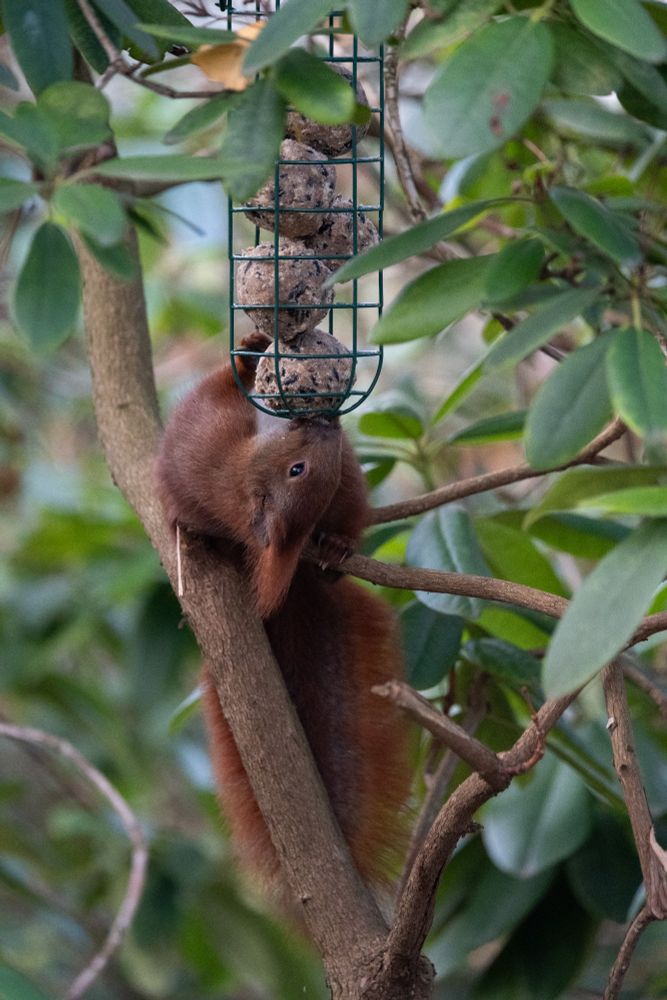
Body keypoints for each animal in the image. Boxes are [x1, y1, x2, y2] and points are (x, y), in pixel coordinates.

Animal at [157, 331, 411, 890]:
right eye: (297, 470)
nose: (326, 425)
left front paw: (254, 344)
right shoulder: (209, 423)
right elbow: (220, 381)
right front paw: (252, 344)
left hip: (351, 488)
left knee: (348, 522)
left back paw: (336, 547)